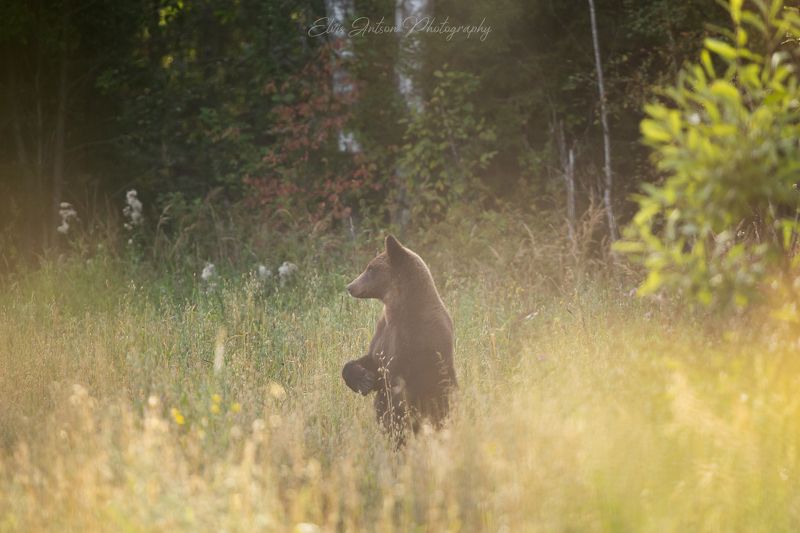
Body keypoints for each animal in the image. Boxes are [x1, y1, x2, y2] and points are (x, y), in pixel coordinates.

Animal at [342, 235, 456, 442]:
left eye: (371, 268)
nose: (350, 286)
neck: (397, 309)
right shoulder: (383, 333)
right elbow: (371, 361)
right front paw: (363, 379)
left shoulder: (416, 338)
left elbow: (397, 382)